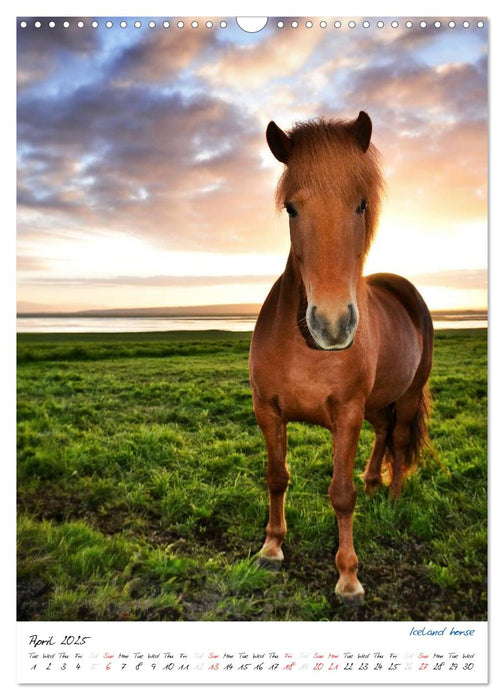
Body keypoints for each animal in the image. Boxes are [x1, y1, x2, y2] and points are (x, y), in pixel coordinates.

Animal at [248, 112, 434, 604]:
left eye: (361, 205)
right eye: (292, 209)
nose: (331, 324)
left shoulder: (347, 414)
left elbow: (341, 494)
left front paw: (348, 577)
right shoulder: (267, 410)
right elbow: (277, 476)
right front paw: (272, 547)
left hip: (407, 395)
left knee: (400, 439)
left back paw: (393, 497)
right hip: (377, 402)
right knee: (384, 431)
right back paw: (374, 483)